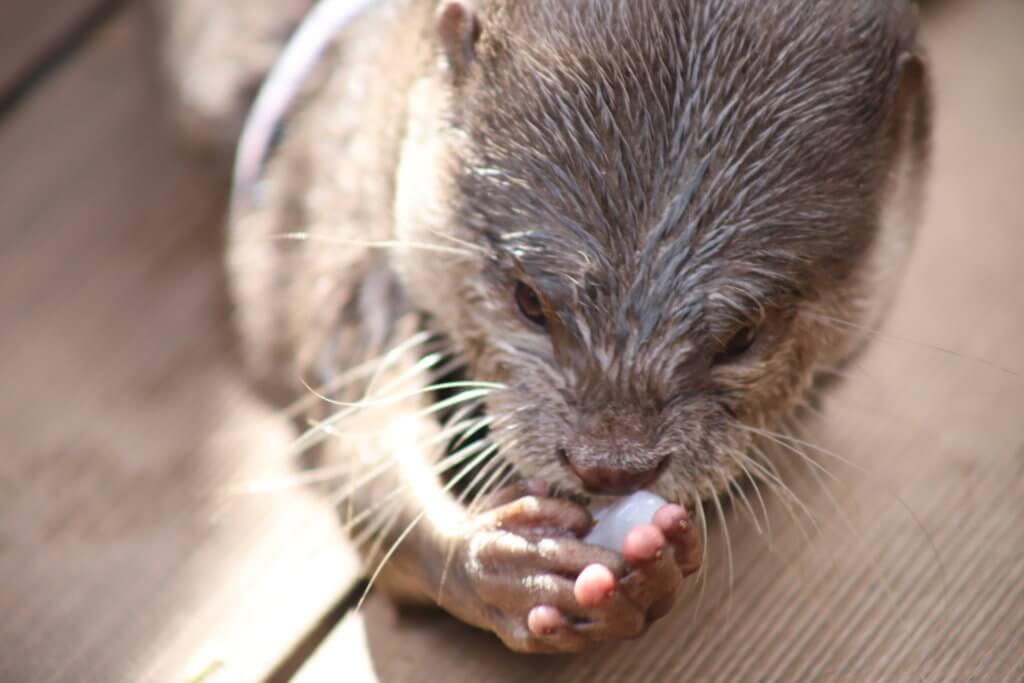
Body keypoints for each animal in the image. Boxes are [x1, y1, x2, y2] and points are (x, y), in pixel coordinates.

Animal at [178, 0, 937, 655]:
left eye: (743, 335)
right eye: (527, 300)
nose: (610, 463)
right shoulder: (341, 190)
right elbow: (353, 426)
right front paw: (500, 558)